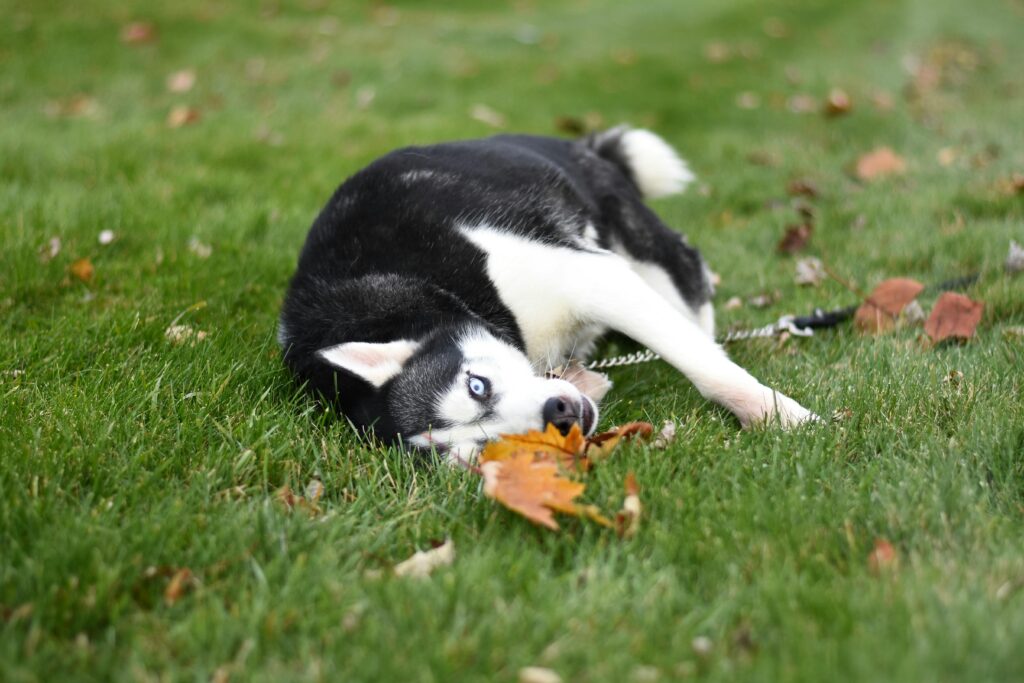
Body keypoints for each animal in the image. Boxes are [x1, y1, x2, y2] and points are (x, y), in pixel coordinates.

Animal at [278, 126, 815, 464]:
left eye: (476, 386)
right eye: (486, 448)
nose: (559, 415)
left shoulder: (590, 275)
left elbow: (707, 369)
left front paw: (780, 417)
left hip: (626, 231)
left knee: (685, 270)